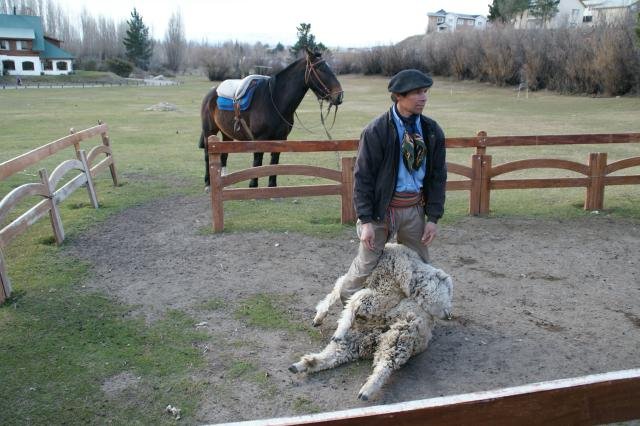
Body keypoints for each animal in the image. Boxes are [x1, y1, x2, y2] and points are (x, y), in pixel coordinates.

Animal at [199, 49, 342, 189]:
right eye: (320, 68)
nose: (339, 96)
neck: (274, 100)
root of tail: (212, 92)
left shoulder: (281, 139)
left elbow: (274, 163)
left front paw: (272, 186)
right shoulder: (259, 139)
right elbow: (257, 162)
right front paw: (253, 186)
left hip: (226, 133)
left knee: (223, 155)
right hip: (209, 132)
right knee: (207, 155)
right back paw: (208, 183)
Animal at [288, 243, 452, 400]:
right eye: (449, 292)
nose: (449, 315)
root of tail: (374, 338)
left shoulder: (383, 297)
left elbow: (355, 298)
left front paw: (341, 325)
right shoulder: (366, 286)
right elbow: (340, 290)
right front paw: (320, 316)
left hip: (400, 335)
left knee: (386, 363)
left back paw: (366, 390)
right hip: (358, 338)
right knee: (336, 355)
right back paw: (305, 364)